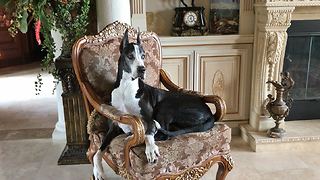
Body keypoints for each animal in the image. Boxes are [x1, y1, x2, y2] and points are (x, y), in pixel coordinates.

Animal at [92, 30, 218, 179]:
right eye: (130, 56)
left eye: (143, 56)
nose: (142, 69)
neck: (126, 86)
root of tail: (209, 112)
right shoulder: (113, 128)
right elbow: (97, 152)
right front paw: (98, 171)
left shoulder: (150, 120)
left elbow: (148, 134)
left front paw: (151, 149)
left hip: (164, 105)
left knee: (163, 134)